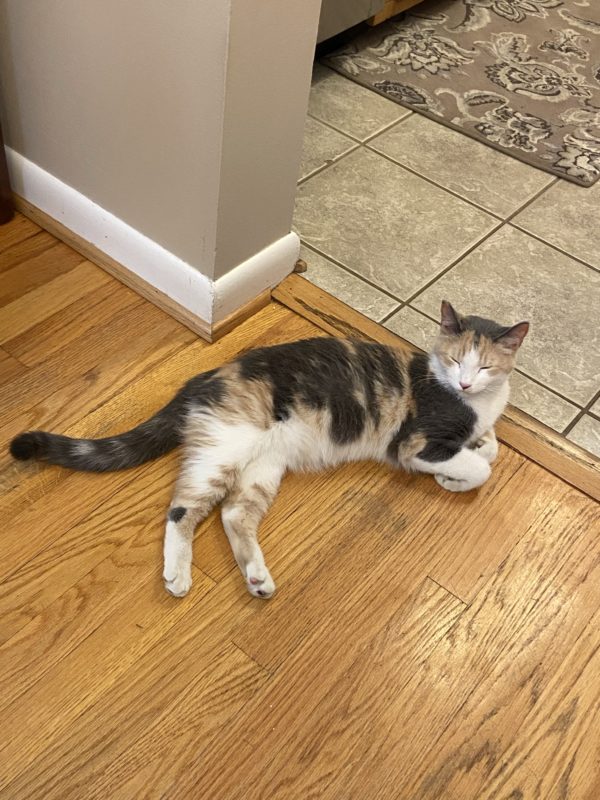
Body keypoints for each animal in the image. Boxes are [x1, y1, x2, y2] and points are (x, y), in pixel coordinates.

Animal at [8, 300, 524, 600]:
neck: (473, 400)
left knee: (234, 514)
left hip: (263, 468)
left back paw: (257, 578)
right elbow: (480, 467)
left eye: (486, 366)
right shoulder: (415, 442)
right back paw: (178, 576)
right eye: (456, 359)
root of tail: (199, 380)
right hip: (224, 450)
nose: (464, 381)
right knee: (181, 510)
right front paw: (452, 476)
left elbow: (492, 448)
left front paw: (480, 447)